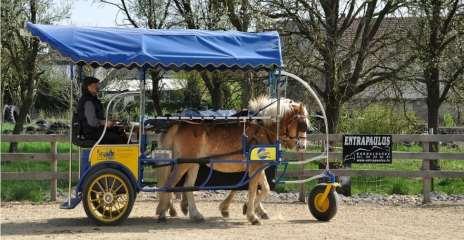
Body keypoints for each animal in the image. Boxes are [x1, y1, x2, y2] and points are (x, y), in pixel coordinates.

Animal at [155, 95, 308, 225]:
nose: (303, 146)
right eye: (303, 124)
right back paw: (162, 212)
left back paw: (195, 214)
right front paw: (252, 215)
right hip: (184, 163)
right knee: (170, 184)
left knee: (188, 186)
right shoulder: (255, 166)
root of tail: (179, 124)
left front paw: (248, 208)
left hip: (194, 163)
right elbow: (253, 190)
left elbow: (265, 189)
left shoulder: (258, 167)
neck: (262, 128)